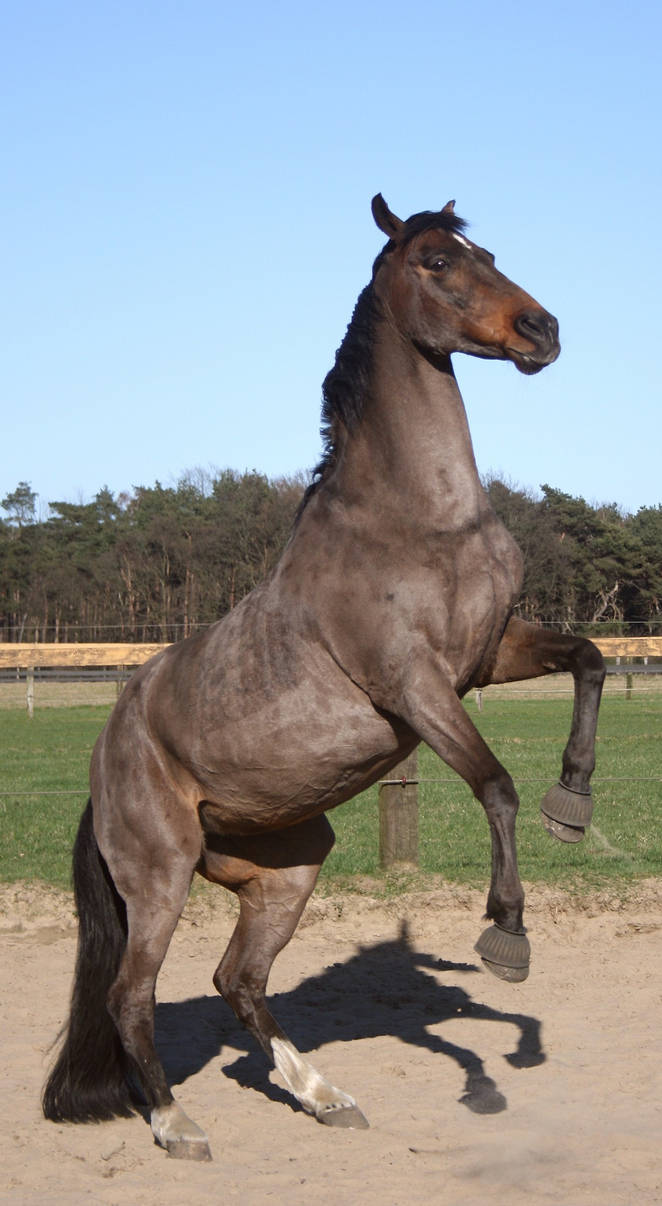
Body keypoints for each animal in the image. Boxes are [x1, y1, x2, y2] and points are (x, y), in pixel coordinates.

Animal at [43, 194, 605, 1161]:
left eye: (488, 251)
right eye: (434, 260)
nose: (543, 331)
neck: (422, 520)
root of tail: (105, 759)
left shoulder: (490, 653)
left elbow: (591, 661)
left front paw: (571, 804)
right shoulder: (415, 686)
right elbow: (494, 785)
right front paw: (507, 934)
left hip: (287, 870)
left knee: (238, 979)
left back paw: (323, 1095)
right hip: (159, 877)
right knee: (131, 996)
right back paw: (177, 1123)